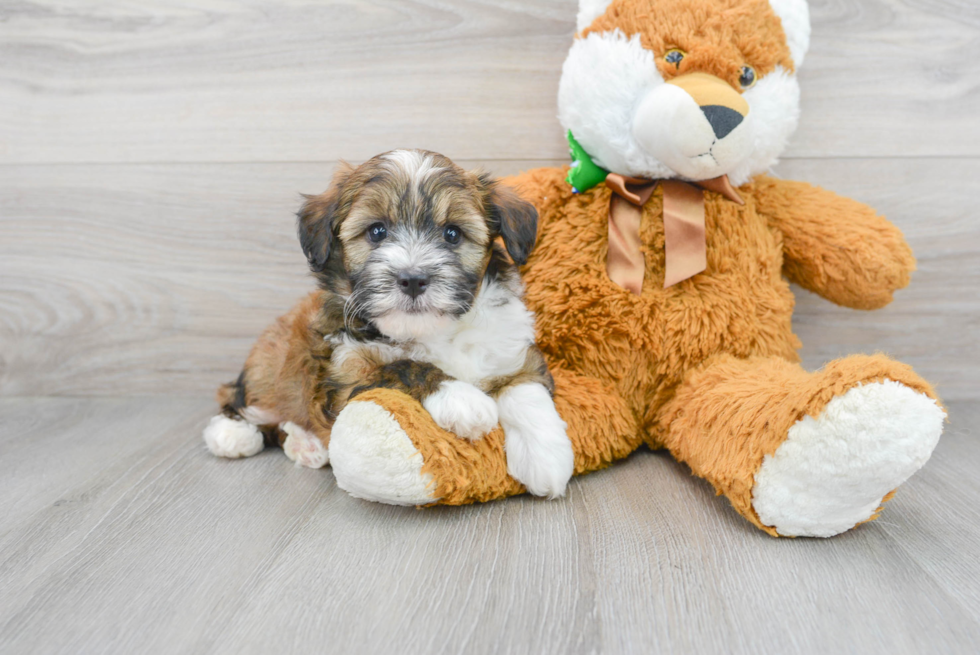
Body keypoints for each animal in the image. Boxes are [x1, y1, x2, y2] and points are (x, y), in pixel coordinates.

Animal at [204, 150, 580, 498]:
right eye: (377, 231)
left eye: (452, 234)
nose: (412, 279)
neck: (434, 331)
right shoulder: (345, 370)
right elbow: (403, 366)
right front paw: (461, 399)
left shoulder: (511, 345)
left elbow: (524, 388)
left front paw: (545, 459)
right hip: (268, 368)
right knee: (237, 396)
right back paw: (233, 434)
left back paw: (304, 445)